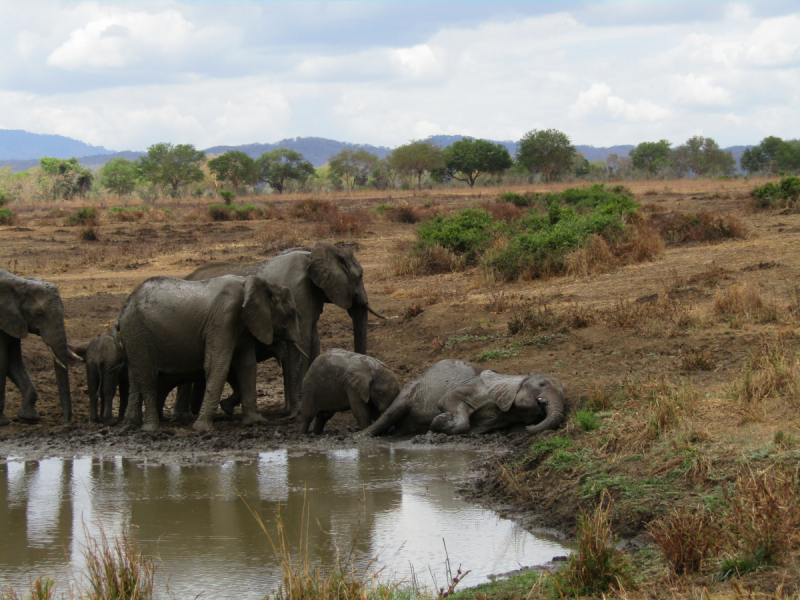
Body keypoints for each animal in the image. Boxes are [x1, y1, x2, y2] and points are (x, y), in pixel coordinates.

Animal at [111, 272, 302, 432]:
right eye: (290, 313)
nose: (291, 417)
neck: (254, 282)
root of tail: (121, 313)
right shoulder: (223, 319)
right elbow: (218, 365)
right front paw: (202, 429)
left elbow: (247, 366)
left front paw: (255, 422)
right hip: (138, 331)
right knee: (147, 377)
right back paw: (151, 429)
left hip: (134, 336)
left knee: (135, 375)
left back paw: (130, 426)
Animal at [184, 240, 384, 418]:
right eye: (360, 276)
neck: (314, 254)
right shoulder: (299, 293)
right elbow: (303, 342)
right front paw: (297, 411)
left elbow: (312, 342)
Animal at [360, 358, 564, 438]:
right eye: (542, 384)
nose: (528, 427)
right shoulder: (477, 388)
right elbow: (447, 400)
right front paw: (438, 422)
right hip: (409, 391)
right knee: (391, 414)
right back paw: (361, 436)